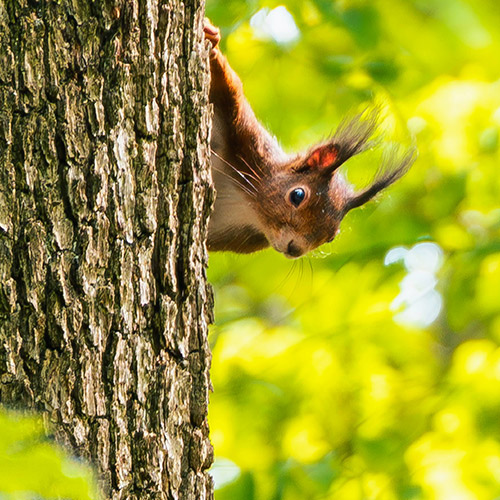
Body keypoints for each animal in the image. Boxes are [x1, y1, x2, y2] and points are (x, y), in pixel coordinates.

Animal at [202, 19, 414, 258]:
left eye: (332, 236)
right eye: (297, 195)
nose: (295, 249)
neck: (250, 207)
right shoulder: (246, 138)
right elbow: (231, 85)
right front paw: (211, 37)